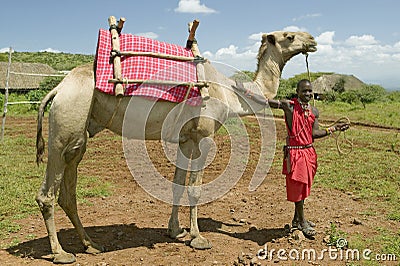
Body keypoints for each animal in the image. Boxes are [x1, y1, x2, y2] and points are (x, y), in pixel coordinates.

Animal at [35, 30, 316, 262]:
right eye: (289, 36)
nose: (312, 40)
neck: (230, 94)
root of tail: (58, 89)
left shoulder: (186, 139)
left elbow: (177, 186)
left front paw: (176, 231)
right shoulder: (203, 137)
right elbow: (195, 190)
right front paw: (198, 238)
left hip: (78, 135)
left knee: (68, 191)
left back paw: (91, 245)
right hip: (67, 122)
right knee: (47, 192)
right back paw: (61, 253)